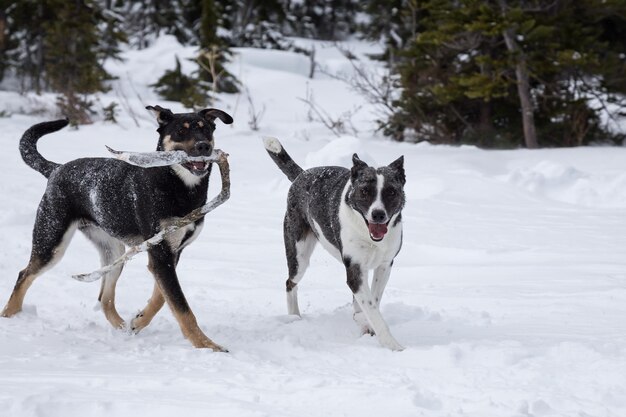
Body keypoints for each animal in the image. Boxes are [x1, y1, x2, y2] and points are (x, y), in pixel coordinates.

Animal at [0, 105, 232, 350]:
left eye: (205, 129)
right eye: (181, 131)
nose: (204, 146)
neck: (176, 184)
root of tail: (56, 169)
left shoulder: (173, 252)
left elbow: (162, 297)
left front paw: (138, 321)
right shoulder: (160, 253)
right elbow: (181, 307)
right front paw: (208, 346)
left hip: (113, 252)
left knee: (104, 299)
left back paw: (122, 328)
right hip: (51, 241)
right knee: (24, 274)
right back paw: (9, 315)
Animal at [262, 137, 404, 352]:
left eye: (391, 192)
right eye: (364, 191)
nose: (378, 214)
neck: (368, 235)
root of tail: (302, 175)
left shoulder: (384, 265)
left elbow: (373, 300)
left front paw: (364, 322)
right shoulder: (354, 268)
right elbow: (370, 308)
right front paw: (392, 344)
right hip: (299, 255)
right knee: (290, 282)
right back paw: (294, 316)